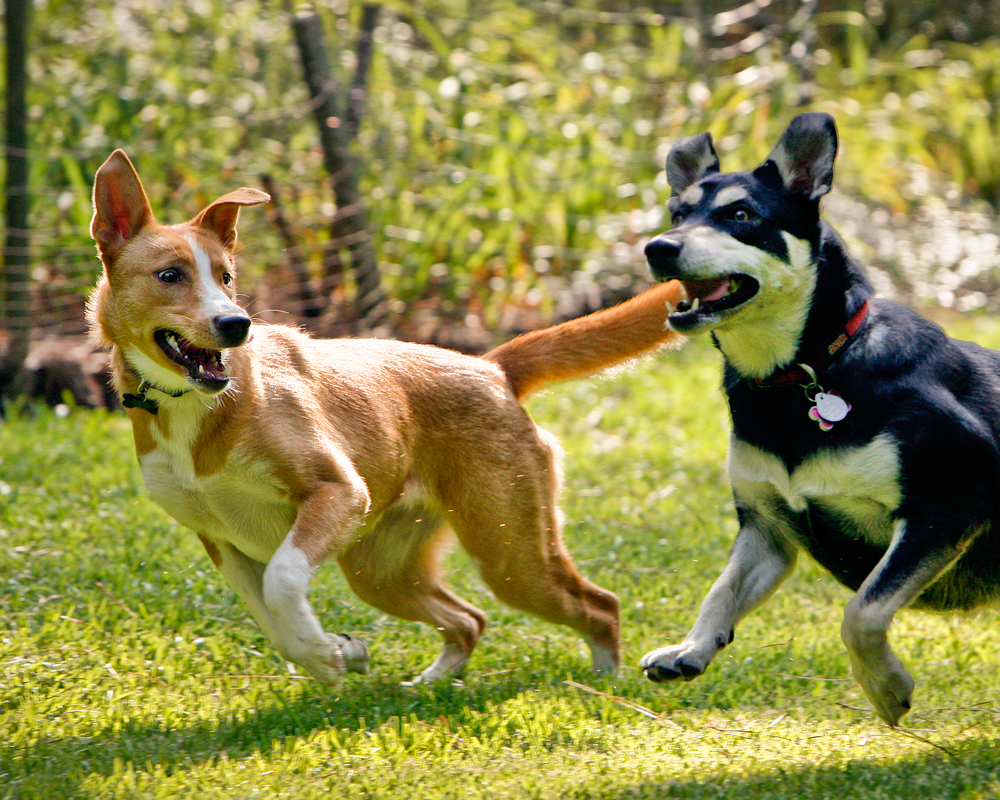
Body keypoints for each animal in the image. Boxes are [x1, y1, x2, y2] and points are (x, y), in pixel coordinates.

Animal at [88, 152, 688, 688]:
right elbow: (274, 621)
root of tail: (491, 367)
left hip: (510, 553)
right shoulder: (221, 541)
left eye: (227, 277)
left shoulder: (338, 492)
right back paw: (430, 684)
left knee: (599, 605)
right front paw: (335, 652)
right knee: (469, 620)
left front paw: (326, 653)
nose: (237, 325)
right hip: (381, 570)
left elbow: (284, 581)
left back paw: (606, 681)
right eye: (170, 275)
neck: (197, 408)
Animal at [640, 111, 1000, 724]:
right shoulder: (767, 528)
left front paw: (886, 687)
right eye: (677, 214)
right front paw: (691, 648)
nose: (657, 248)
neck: (805, 371)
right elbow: (721, 590)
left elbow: (861, 613)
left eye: (742, 215)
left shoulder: (951, 505)